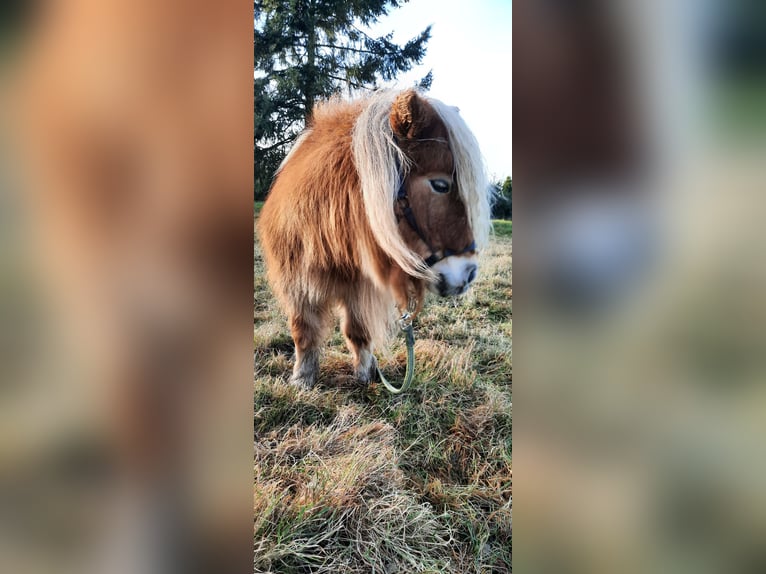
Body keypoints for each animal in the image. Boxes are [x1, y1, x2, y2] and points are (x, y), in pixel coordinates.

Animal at [258, 89, 492, 388]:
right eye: (440, 185)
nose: (470, 273)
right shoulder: (297, 283)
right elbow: (304, 331)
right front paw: (302, 378)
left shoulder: (361, 288)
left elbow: (357, 330)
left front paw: (364, 373)